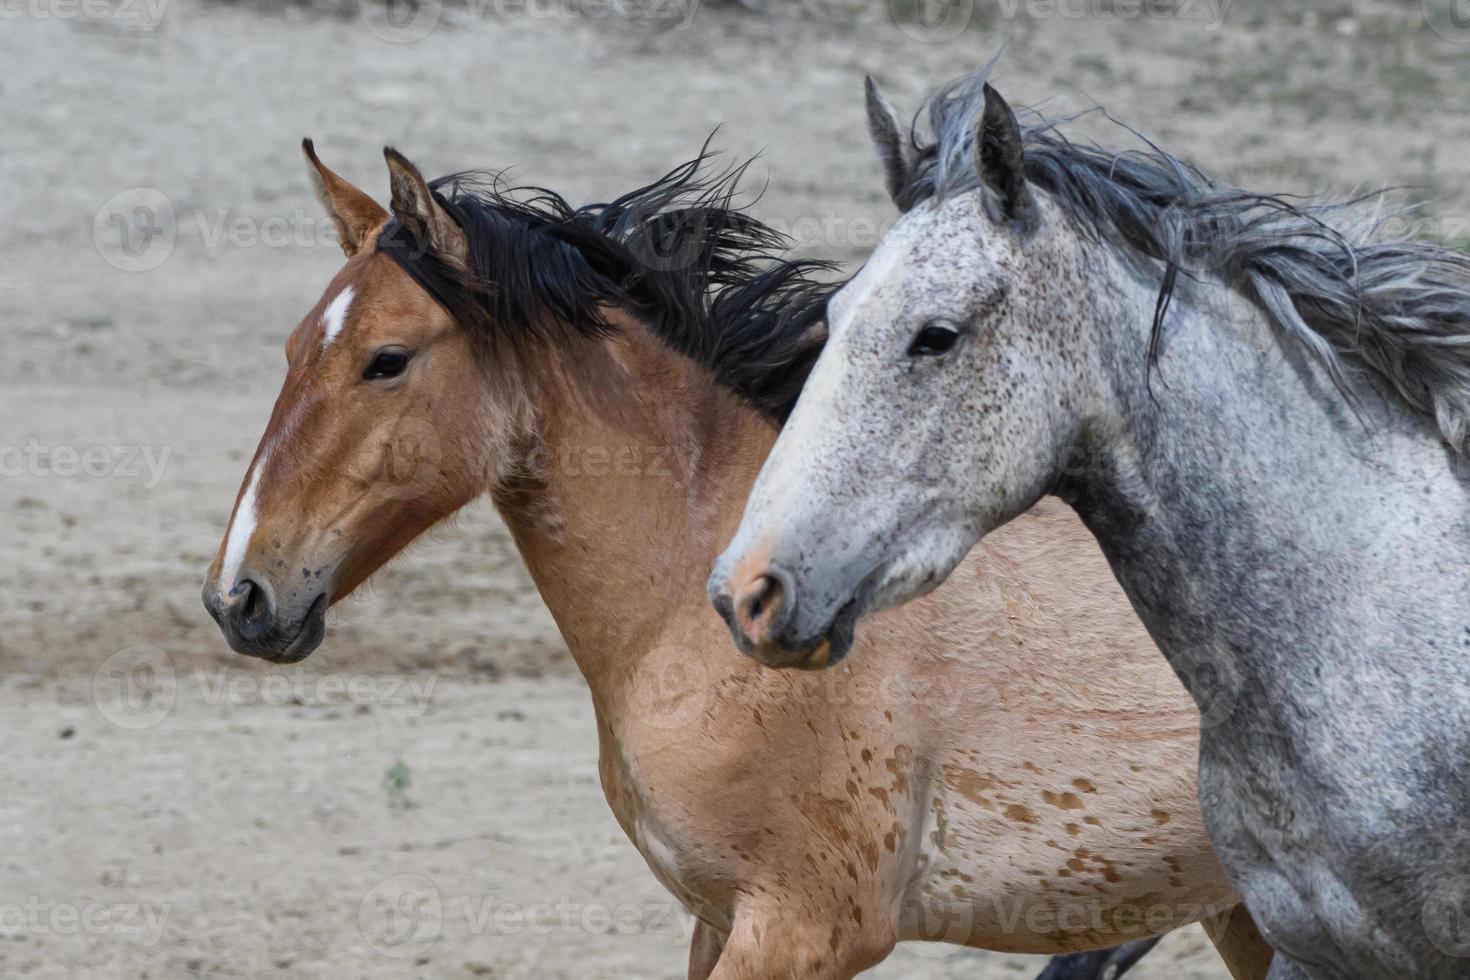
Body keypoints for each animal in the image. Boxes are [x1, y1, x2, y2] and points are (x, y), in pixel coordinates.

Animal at [201, 145, 1270, 980]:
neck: (699, 603)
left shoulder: (802, 930)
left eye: (386, 360)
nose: (240, 596)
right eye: (292, 349)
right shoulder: (716, 919)